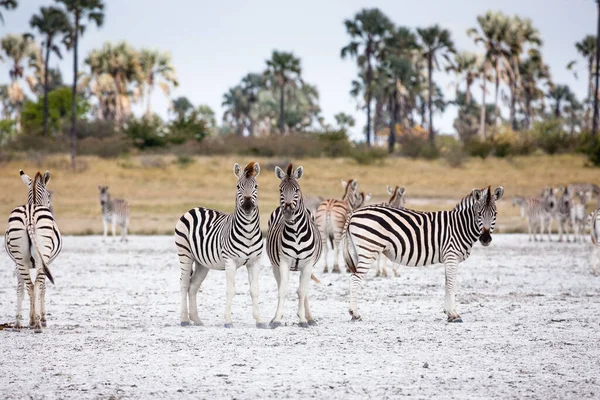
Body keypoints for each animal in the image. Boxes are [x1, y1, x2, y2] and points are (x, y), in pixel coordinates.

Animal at [4, 169, 62, 332]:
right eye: (49, 195)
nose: (50, 205)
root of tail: (30, 214)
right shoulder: (48, 262)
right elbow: (42, 288)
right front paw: (42, 318)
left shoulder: (16, 263)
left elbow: (20, 288)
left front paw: (22, 319)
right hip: (43, 255)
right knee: (36, 285)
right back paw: (37, 323)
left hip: (20, 258)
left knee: (29, 285)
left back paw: (22, 323)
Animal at [175, 161, 266, 330]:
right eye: (238, 186)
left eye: (256, 186)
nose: (248, 205)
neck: (248, 232)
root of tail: (193, 208)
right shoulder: (230, 261)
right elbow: (230, 290)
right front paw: (228, 321)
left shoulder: (255, 262)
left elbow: (255, 290)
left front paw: (260, 320)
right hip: (185, 253)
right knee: (184, 283)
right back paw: (184, 319)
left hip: (202, 262)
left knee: (193, 286)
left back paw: (196, 319)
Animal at [268, 162, 324, 328]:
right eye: (280, 190)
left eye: (297, 190)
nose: (287, 212)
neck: (296, 232)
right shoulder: (284, 262)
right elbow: (282, 290)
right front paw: (277, 320)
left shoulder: (307, 264)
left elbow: (302, 291)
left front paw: (303, 319)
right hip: (275, 266)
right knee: (281, 286)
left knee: (303, 291)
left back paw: (309, 317)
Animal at [342, 185, 502, 322]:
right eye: (479, 214)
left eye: (495, 214)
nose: (485, 239)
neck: (460, 226)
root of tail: (354, 213)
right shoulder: (452, 256)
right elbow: (452, 284)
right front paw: (454, 314)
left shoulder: (448, 258)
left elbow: (446, 283)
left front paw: (448, 313)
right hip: (369, 250)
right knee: (355, 279)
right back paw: (355, 314)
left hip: (357, 251)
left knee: (352, 277)